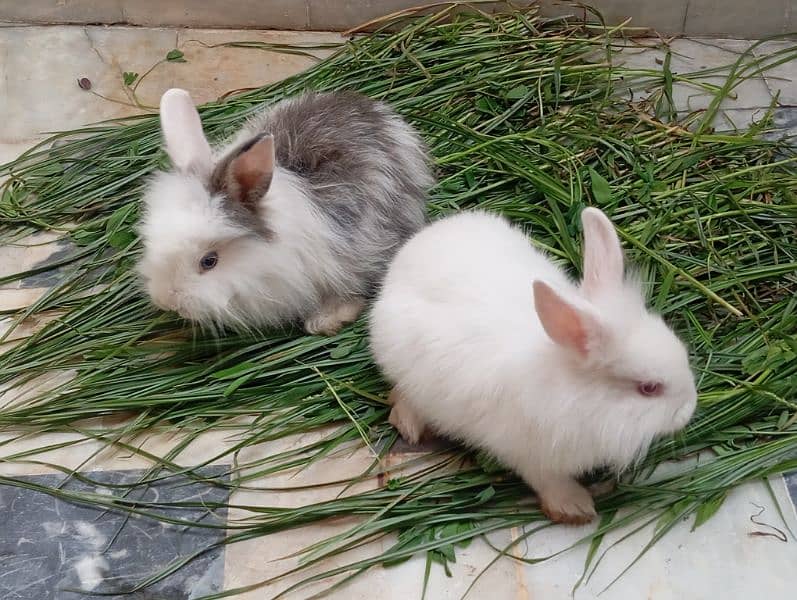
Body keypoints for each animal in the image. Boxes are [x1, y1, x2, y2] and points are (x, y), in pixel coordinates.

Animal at [370, 209, 692, 524]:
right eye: (648, 388)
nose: (687, 412)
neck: (577, 394)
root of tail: (403, 259)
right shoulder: (530, 455)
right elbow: (549, 482)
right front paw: (574, 507)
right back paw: (410, 426)